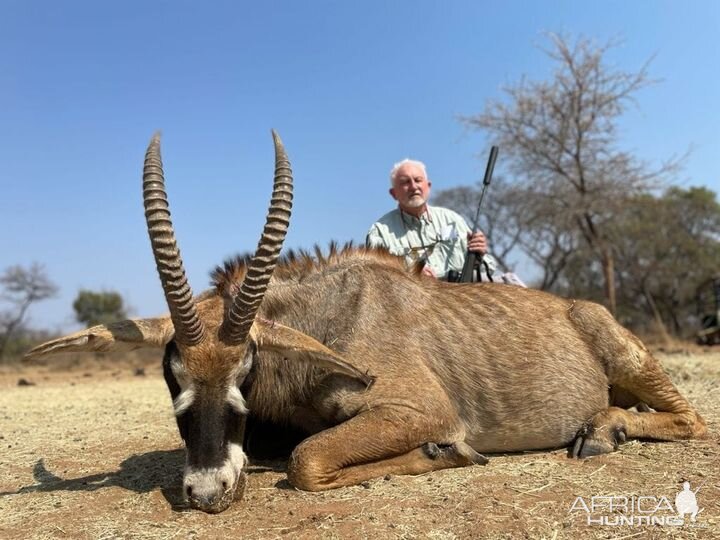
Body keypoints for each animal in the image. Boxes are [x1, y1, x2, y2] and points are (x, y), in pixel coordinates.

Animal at [23, 133, 708, 512]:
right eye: (172, 376)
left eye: (245, 369)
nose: (207, 493)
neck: (328, 320)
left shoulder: (417, 409)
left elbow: (305, 462)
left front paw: (444, 451)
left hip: (628, 357)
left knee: (691, 419)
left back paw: (603, 429)